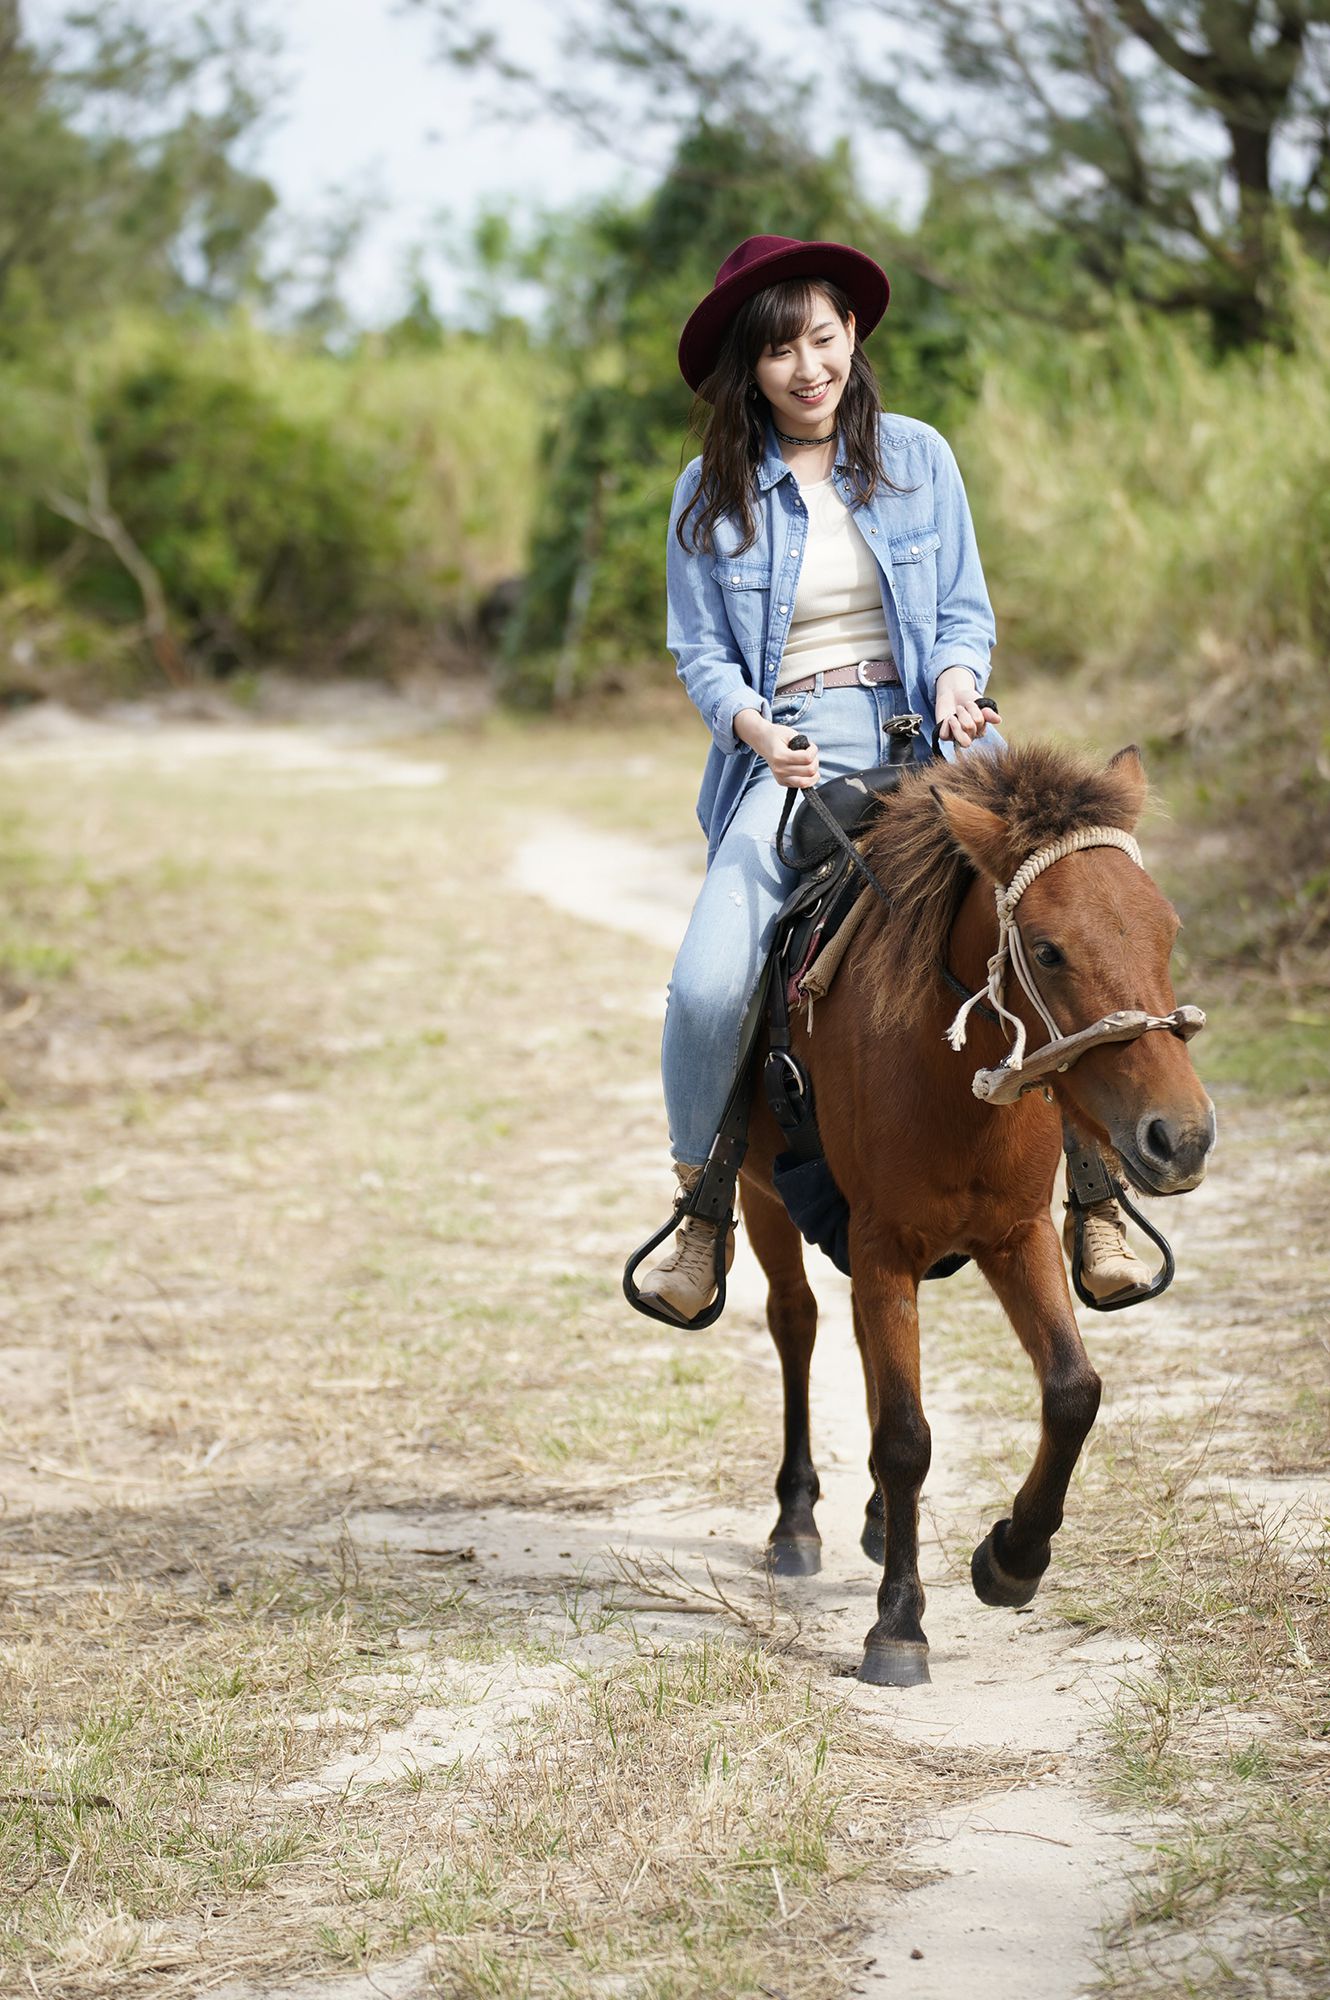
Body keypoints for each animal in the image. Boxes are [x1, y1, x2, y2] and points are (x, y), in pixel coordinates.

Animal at [736, 744, 1216, 1680]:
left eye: (1168, 929)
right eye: (1047, 950)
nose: (1181, 1137)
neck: (950, 1072)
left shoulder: (1016, 1236)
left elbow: (1072, 1391)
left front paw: (1012, 1558)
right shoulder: (882, 1243)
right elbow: (905, 1436)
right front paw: (898, 1625)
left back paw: (878, 1522)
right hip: (760, 1196)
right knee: (796, 1324)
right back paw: (797, 1519)